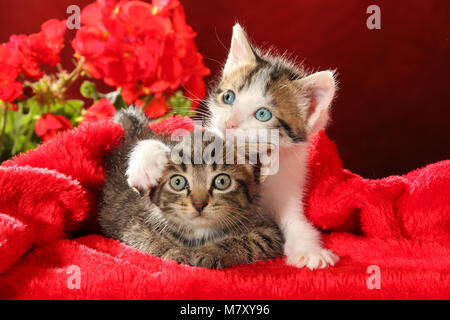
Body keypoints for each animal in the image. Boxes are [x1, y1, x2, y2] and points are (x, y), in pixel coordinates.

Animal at [98, 109, 282, 268]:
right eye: (177, 182)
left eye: (222, 181)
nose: (199, 204)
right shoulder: (133, 225)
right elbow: (148, 240)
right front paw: (175, 251)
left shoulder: (268, 231)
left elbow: (249, 240)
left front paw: (210, 252)